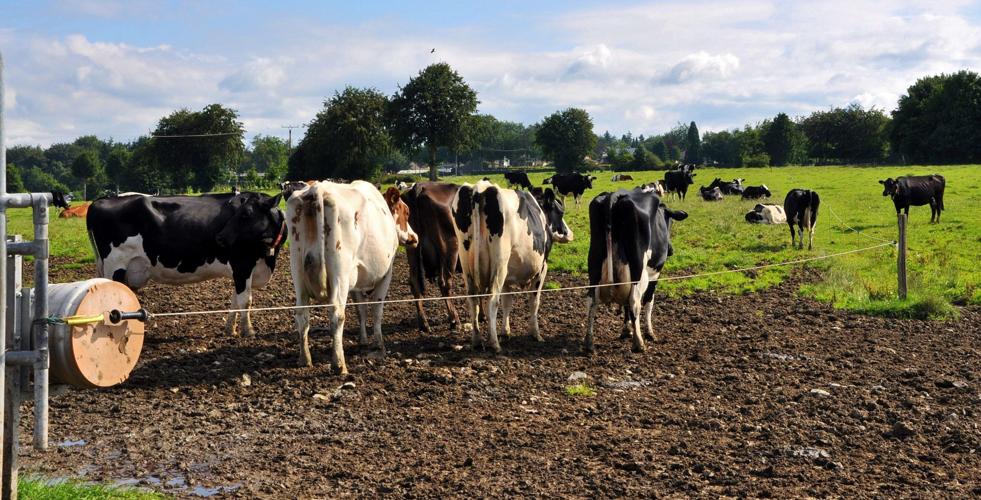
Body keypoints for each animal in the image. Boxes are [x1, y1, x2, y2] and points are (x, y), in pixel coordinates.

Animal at [87, 192, 286, 337]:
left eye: (246, 214)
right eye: (241, 213)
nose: (220, 237)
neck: (268, 260)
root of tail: (101, 200)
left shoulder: (240, 273)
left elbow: (235, 300)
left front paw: (230, 329)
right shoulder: (242, 265)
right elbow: (245, 300)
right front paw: (248, 331)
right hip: (115, 267)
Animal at [287, 180, 417, 373]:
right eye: (406, 212)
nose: (414, 237)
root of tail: (318, 188)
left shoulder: (356, 282)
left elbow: (361, 310)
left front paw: (363, 341)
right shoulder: (386, 274)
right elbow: (377, 310)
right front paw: (379, 345)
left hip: (298, 272)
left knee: (302, 315)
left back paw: (305, 358)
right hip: (340, 274)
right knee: (337, 314)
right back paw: (339, 364)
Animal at [399, 182, 464, 333]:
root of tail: (419, 186)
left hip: (413, 248)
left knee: (415, 283)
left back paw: (424, 324)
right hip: (450, 248)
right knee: (445, 284)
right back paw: (455, 321)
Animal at [451, 180, 573, 353]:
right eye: (560, 212)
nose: (570, 233)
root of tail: (479, 188)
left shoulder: (508, 277)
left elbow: (507, 302)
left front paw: (505, 332)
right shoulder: (542, 269)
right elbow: (534, 302)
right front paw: (535, 334)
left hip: (466, 262)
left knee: (473, 300)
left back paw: (477, 340)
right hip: (499, 264)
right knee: (492, 300)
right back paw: (494, 343)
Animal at [585, 188, 687, 353]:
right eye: (669, 223)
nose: (671, 250)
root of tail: (615, 195)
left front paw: (626, 330)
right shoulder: (655, 274)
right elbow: (649, 301)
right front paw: (649, 332)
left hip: (594, 266)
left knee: (591, 301)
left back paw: (589, 342)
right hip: (637, 271)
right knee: (634, 301)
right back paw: (639, 343)